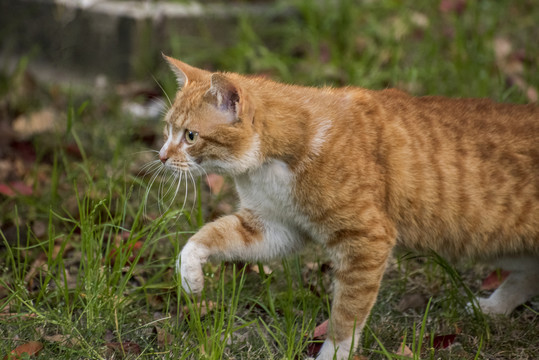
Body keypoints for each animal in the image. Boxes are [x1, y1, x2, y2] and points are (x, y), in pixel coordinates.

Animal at [157, 54, 539, 360]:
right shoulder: (273, 227)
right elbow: (204, 238)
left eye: (190, 136)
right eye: (167, 129)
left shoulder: (366, 239)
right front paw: (190, 276)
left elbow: (347, 312)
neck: (272, 163)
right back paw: (493, 307)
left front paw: (333, 354)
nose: (160, 156)